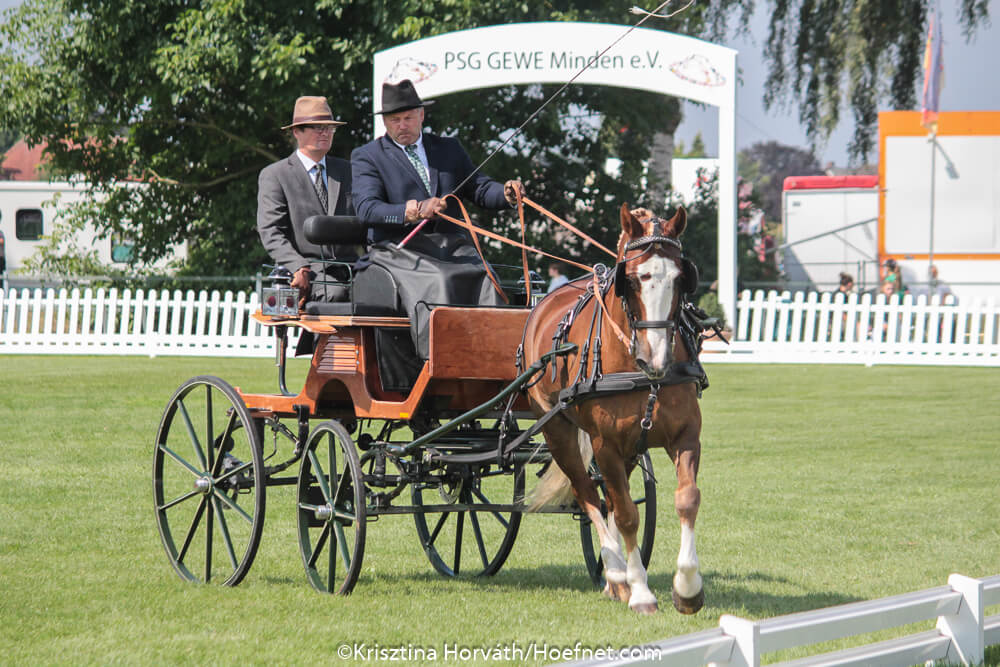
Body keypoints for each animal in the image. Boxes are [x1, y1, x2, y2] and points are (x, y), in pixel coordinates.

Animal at [522, 203, 703, 615]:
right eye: (632, 280)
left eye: (681, 279)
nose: (657, 358)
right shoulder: (605, 446)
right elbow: (626, 514)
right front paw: (640, 591)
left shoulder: (685, 436)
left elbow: (686, 500)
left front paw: (687, 588)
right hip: (559, 432)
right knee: (588, 493)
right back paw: (618, 574)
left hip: (631, 449)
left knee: (603, 497)